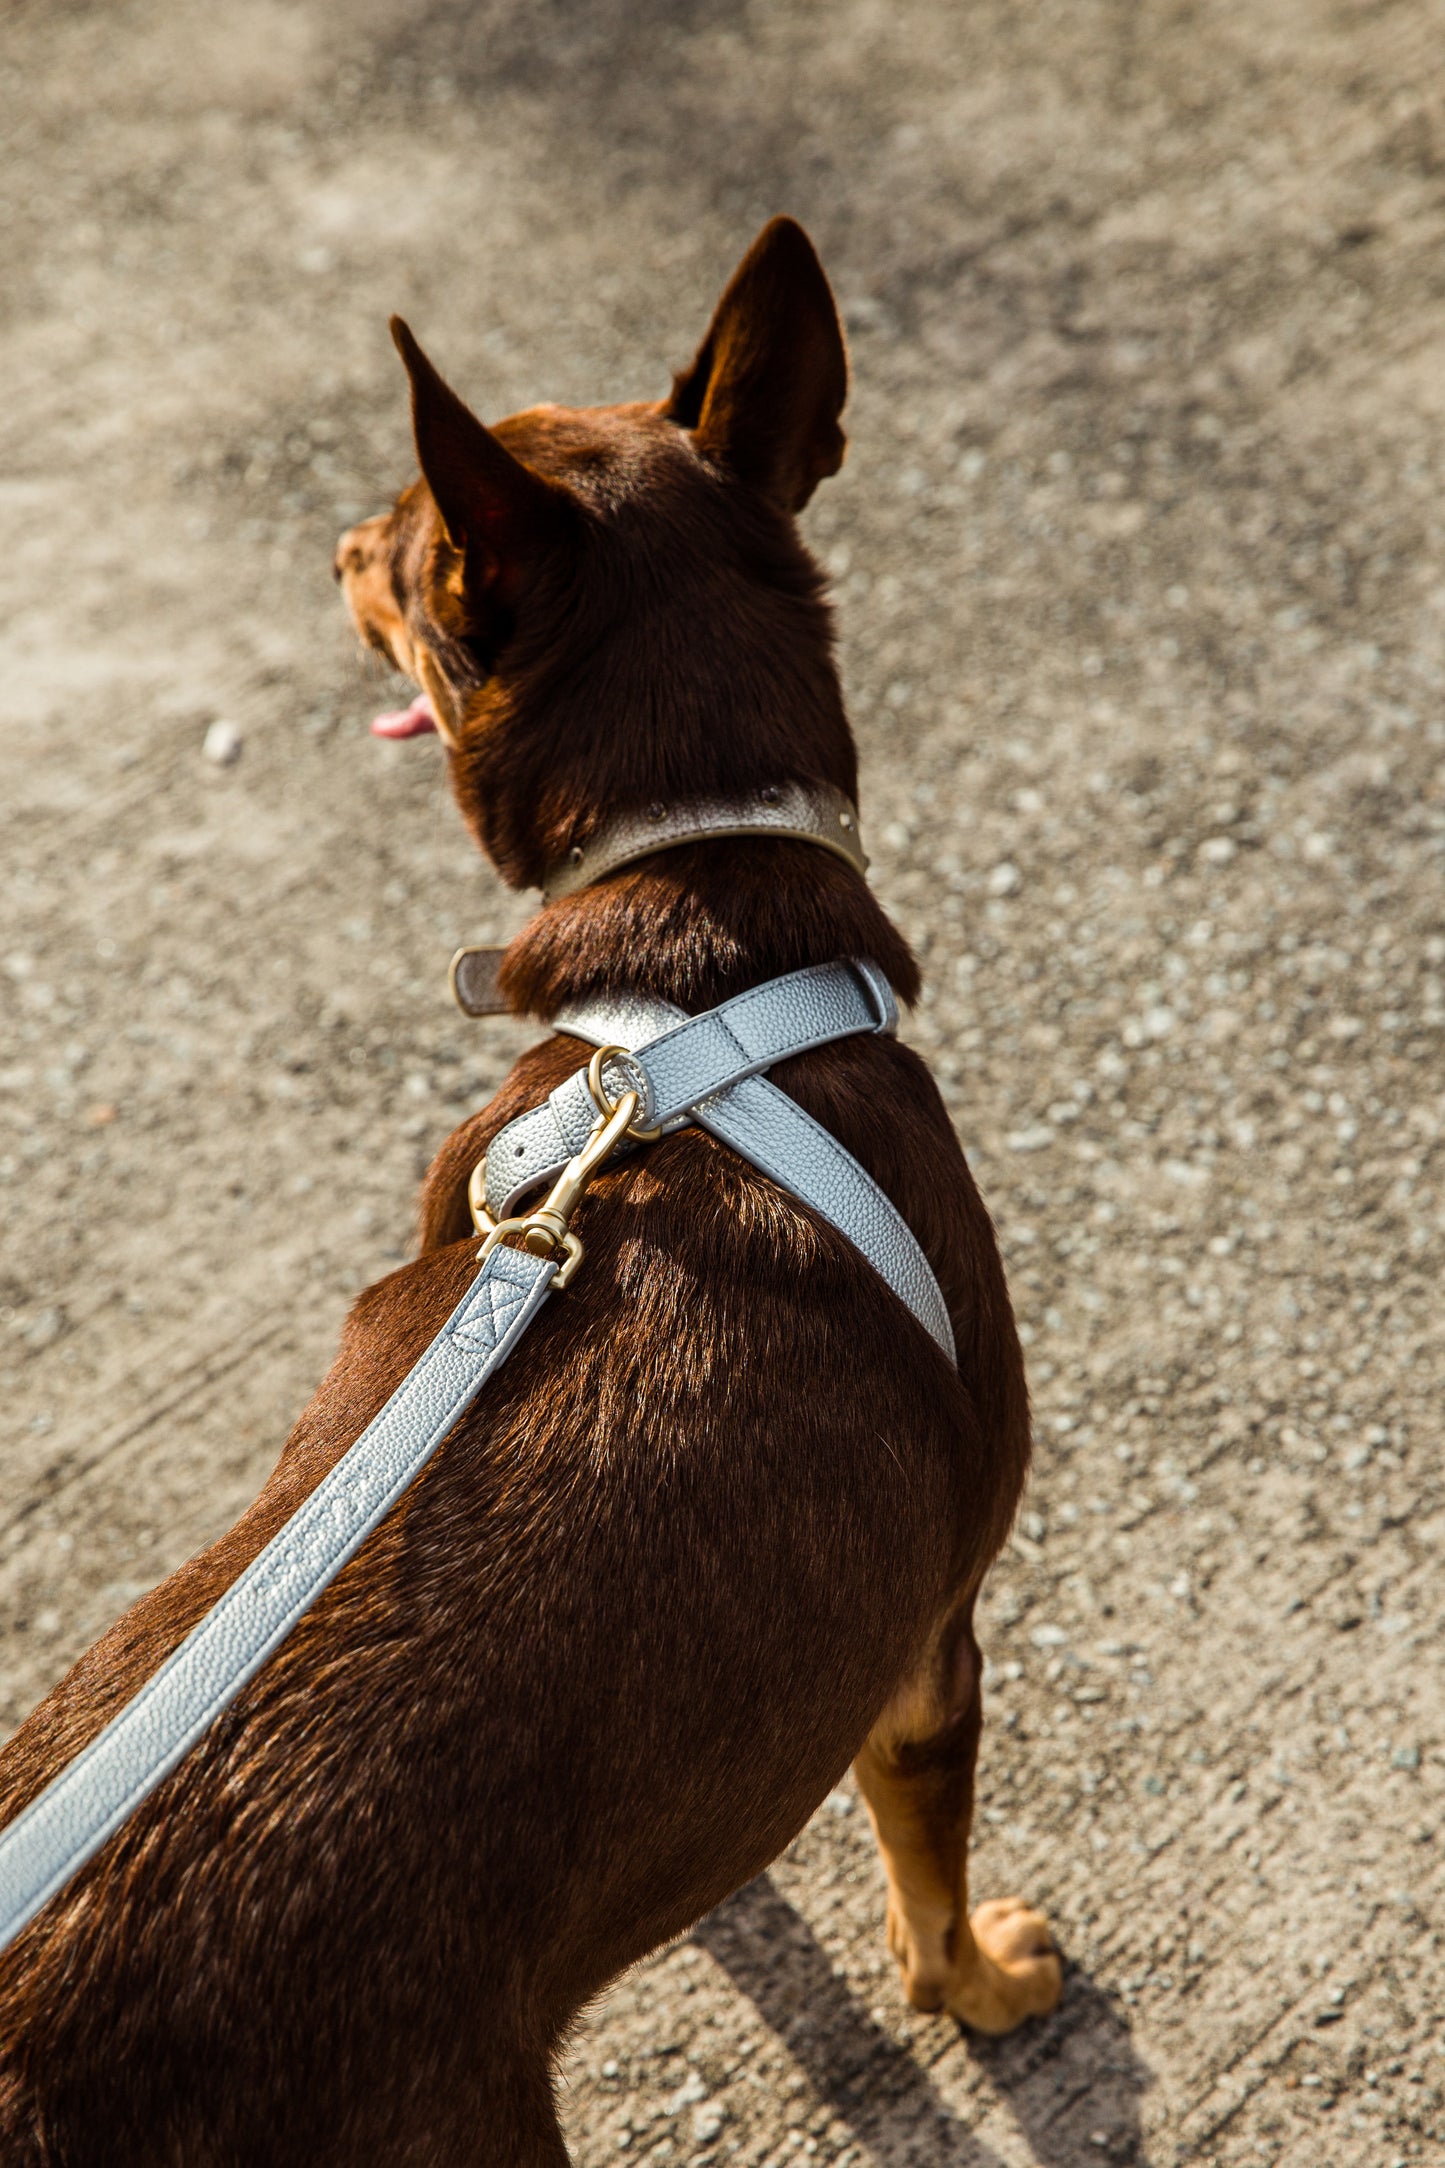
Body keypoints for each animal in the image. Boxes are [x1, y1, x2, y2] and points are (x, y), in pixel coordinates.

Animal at [0, 220, 1061, 2168]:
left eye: (404, 541)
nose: (335, 535)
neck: (701, 947)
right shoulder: (931, 1644)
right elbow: (930, 1885)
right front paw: (988, 1991)